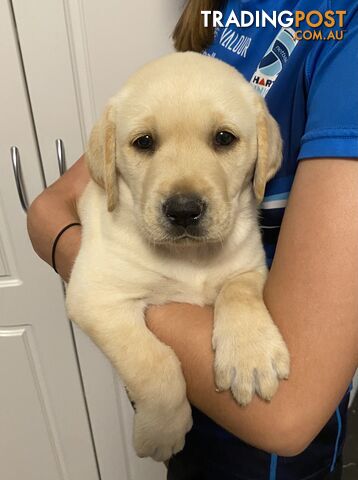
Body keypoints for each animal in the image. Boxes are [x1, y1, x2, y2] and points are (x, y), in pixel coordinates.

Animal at [67, 51, 290, 462]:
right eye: (144, 142)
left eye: (224, 138)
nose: (184, 210)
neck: (191, 257)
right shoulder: (95, 296)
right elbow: (153, 361)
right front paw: (162, 430)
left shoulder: (250, 266)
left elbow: (239, 293)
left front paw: (250, 356)